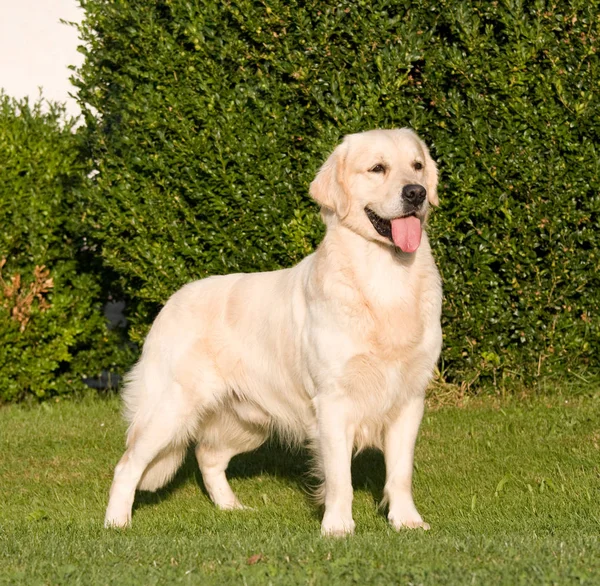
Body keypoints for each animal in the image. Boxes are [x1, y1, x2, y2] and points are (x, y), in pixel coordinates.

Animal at [104, 128, 440, 532]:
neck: (385, 282)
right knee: (127, 465)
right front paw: (337, 527)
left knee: (208, 456)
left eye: (417, 166)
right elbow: (339, 477)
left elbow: (400, 473)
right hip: (171, 408)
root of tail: (170, 302)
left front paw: (407, 522)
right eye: (377, 168)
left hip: (248, 421)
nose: (416, 193)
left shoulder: (409, 399)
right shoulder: (333, 401)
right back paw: (116, 522)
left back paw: (232, 508)